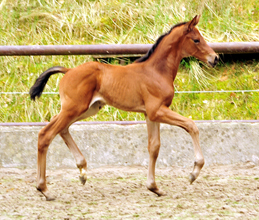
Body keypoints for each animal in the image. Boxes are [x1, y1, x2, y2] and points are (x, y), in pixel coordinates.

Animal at [29, 15, 218, 201]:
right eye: (196, 40)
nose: (215, 58)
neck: (156, 72)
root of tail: (68, 70)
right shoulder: (157, 110)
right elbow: (191, 125)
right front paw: (194, 173)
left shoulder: (150, 115)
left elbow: (154, 147)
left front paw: (154, 187)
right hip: (74, 108)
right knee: (46, 134)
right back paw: (44, 189)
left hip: (87, 109)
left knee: (60, 128)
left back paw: (82, 171)